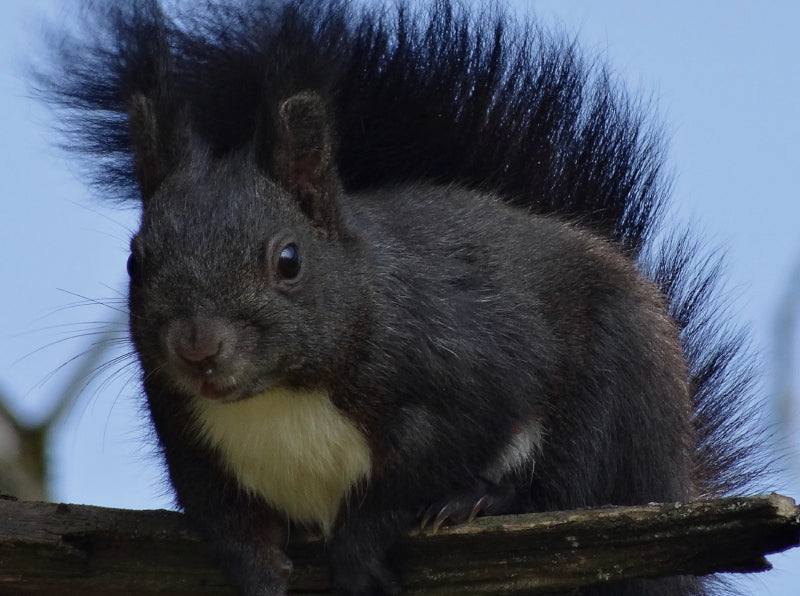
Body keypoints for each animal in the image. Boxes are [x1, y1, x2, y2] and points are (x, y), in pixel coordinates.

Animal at [34, 1, 764, 596]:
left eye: (288, 261)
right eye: (136, 259)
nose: (196, 346)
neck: (283, 395)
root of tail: (678, 472)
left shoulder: (465, 375)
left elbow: (410, 478)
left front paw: (362, 545)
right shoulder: (185, 433)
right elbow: (223, 515)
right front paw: (257, 569)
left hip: (616, 395)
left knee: (569, 486)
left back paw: (483, 501)